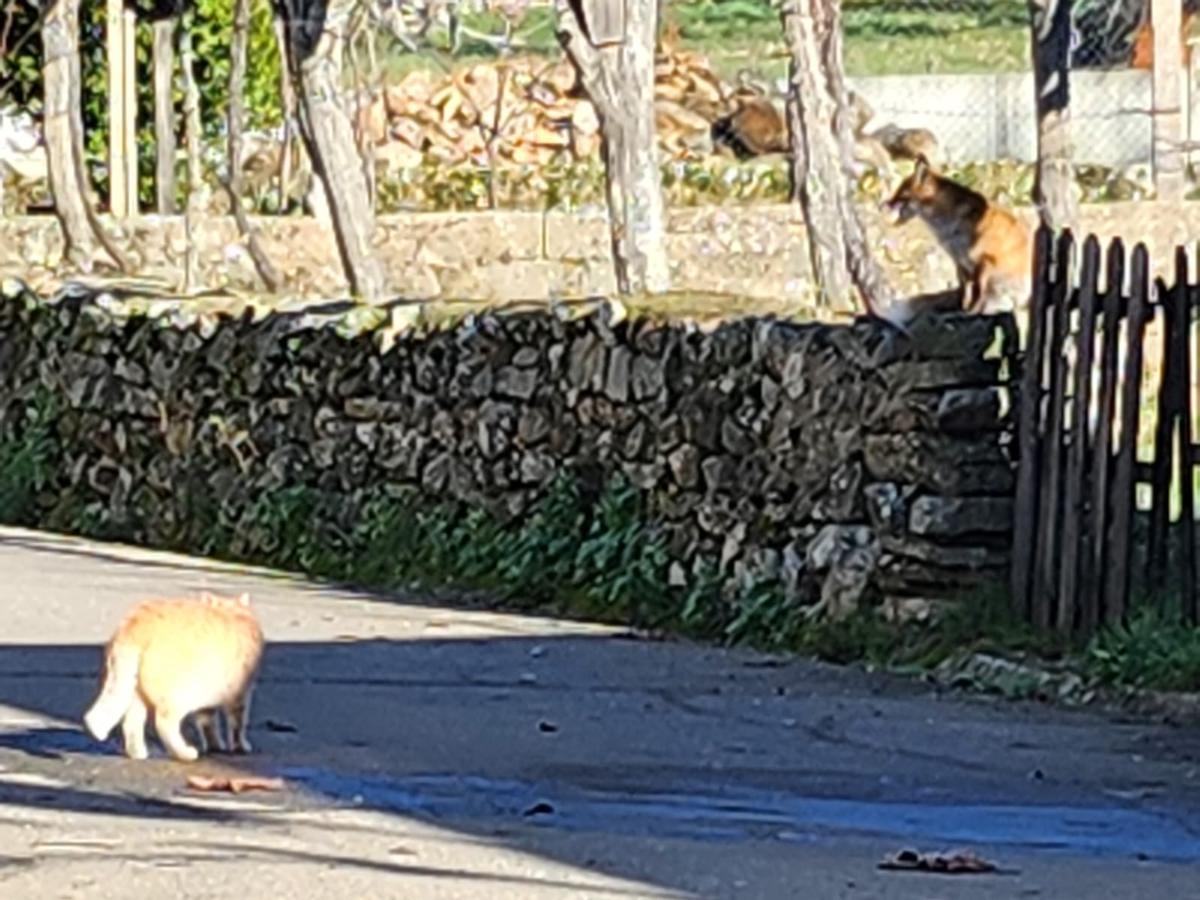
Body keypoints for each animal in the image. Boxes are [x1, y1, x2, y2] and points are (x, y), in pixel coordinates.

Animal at [83, 595, 266, 763]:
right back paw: (185, 753)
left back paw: (139, 754)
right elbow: (238, 725)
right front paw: (241, 747)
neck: (231, 612)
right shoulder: (241, 694)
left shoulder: (210, 701)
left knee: (131, 724)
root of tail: (133, 627)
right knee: (163, 723)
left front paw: (215, 745)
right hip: (181, 694)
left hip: (135, 693)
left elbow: (208, 724)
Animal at [883, 154, 1032, 321]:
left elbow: (976, 295)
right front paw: (957, 308)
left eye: (902, 195)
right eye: (897, 192)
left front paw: (965, 313)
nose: (885, 204)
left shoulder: (979, 262)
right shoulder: (959, 261)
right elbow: (963, 290)